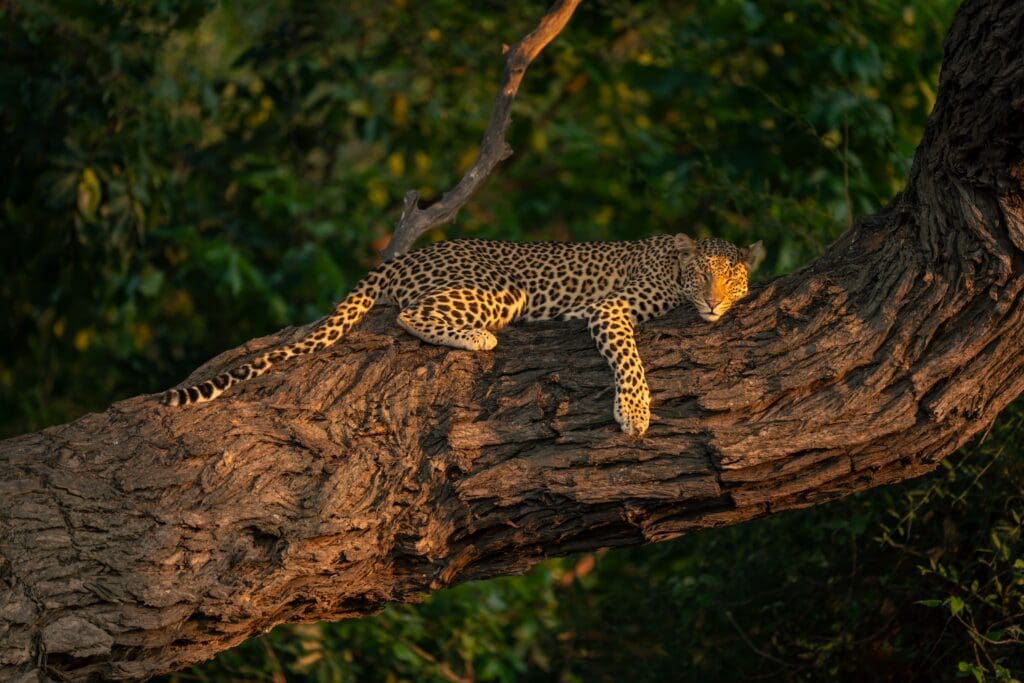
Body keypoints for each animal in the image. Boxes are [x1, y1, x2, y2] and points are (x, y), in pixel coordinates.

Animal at [162, 234, 766, 437]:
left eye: (731, 277)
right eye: (702, 275)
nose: (715, 301)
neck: (672, 268)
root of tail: (406, 256)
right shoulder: (610, 307)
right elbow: (629, 359)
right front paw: (635, 413)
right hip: (501, 288)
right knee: (409, 316)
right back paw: (480, 339)